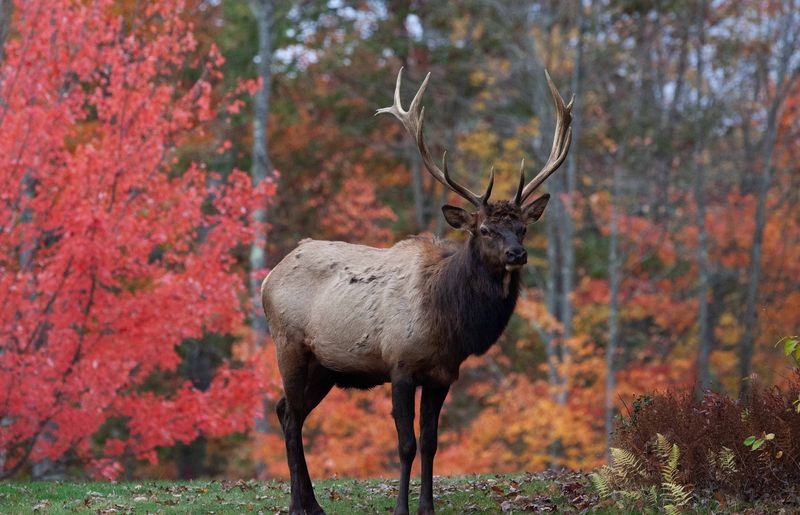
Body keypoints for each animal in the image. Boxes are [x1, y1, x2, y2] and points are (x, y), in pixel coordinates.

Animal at [261, 68, 573, 515]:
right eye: (484, 229)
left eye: (523, 227)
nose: (518, 253)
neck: (447, 320)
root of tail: (269, 276)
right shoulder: (400, 365)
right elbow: (406, 444)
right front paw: (401, 508)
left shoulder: (443, 374)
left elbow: (430, 442)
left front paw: (426, 506)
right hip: (288, 344)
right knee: (288, 415)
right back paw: (297, 506)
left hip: (326, 367)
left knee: (291, 410)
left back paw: (314, 504)